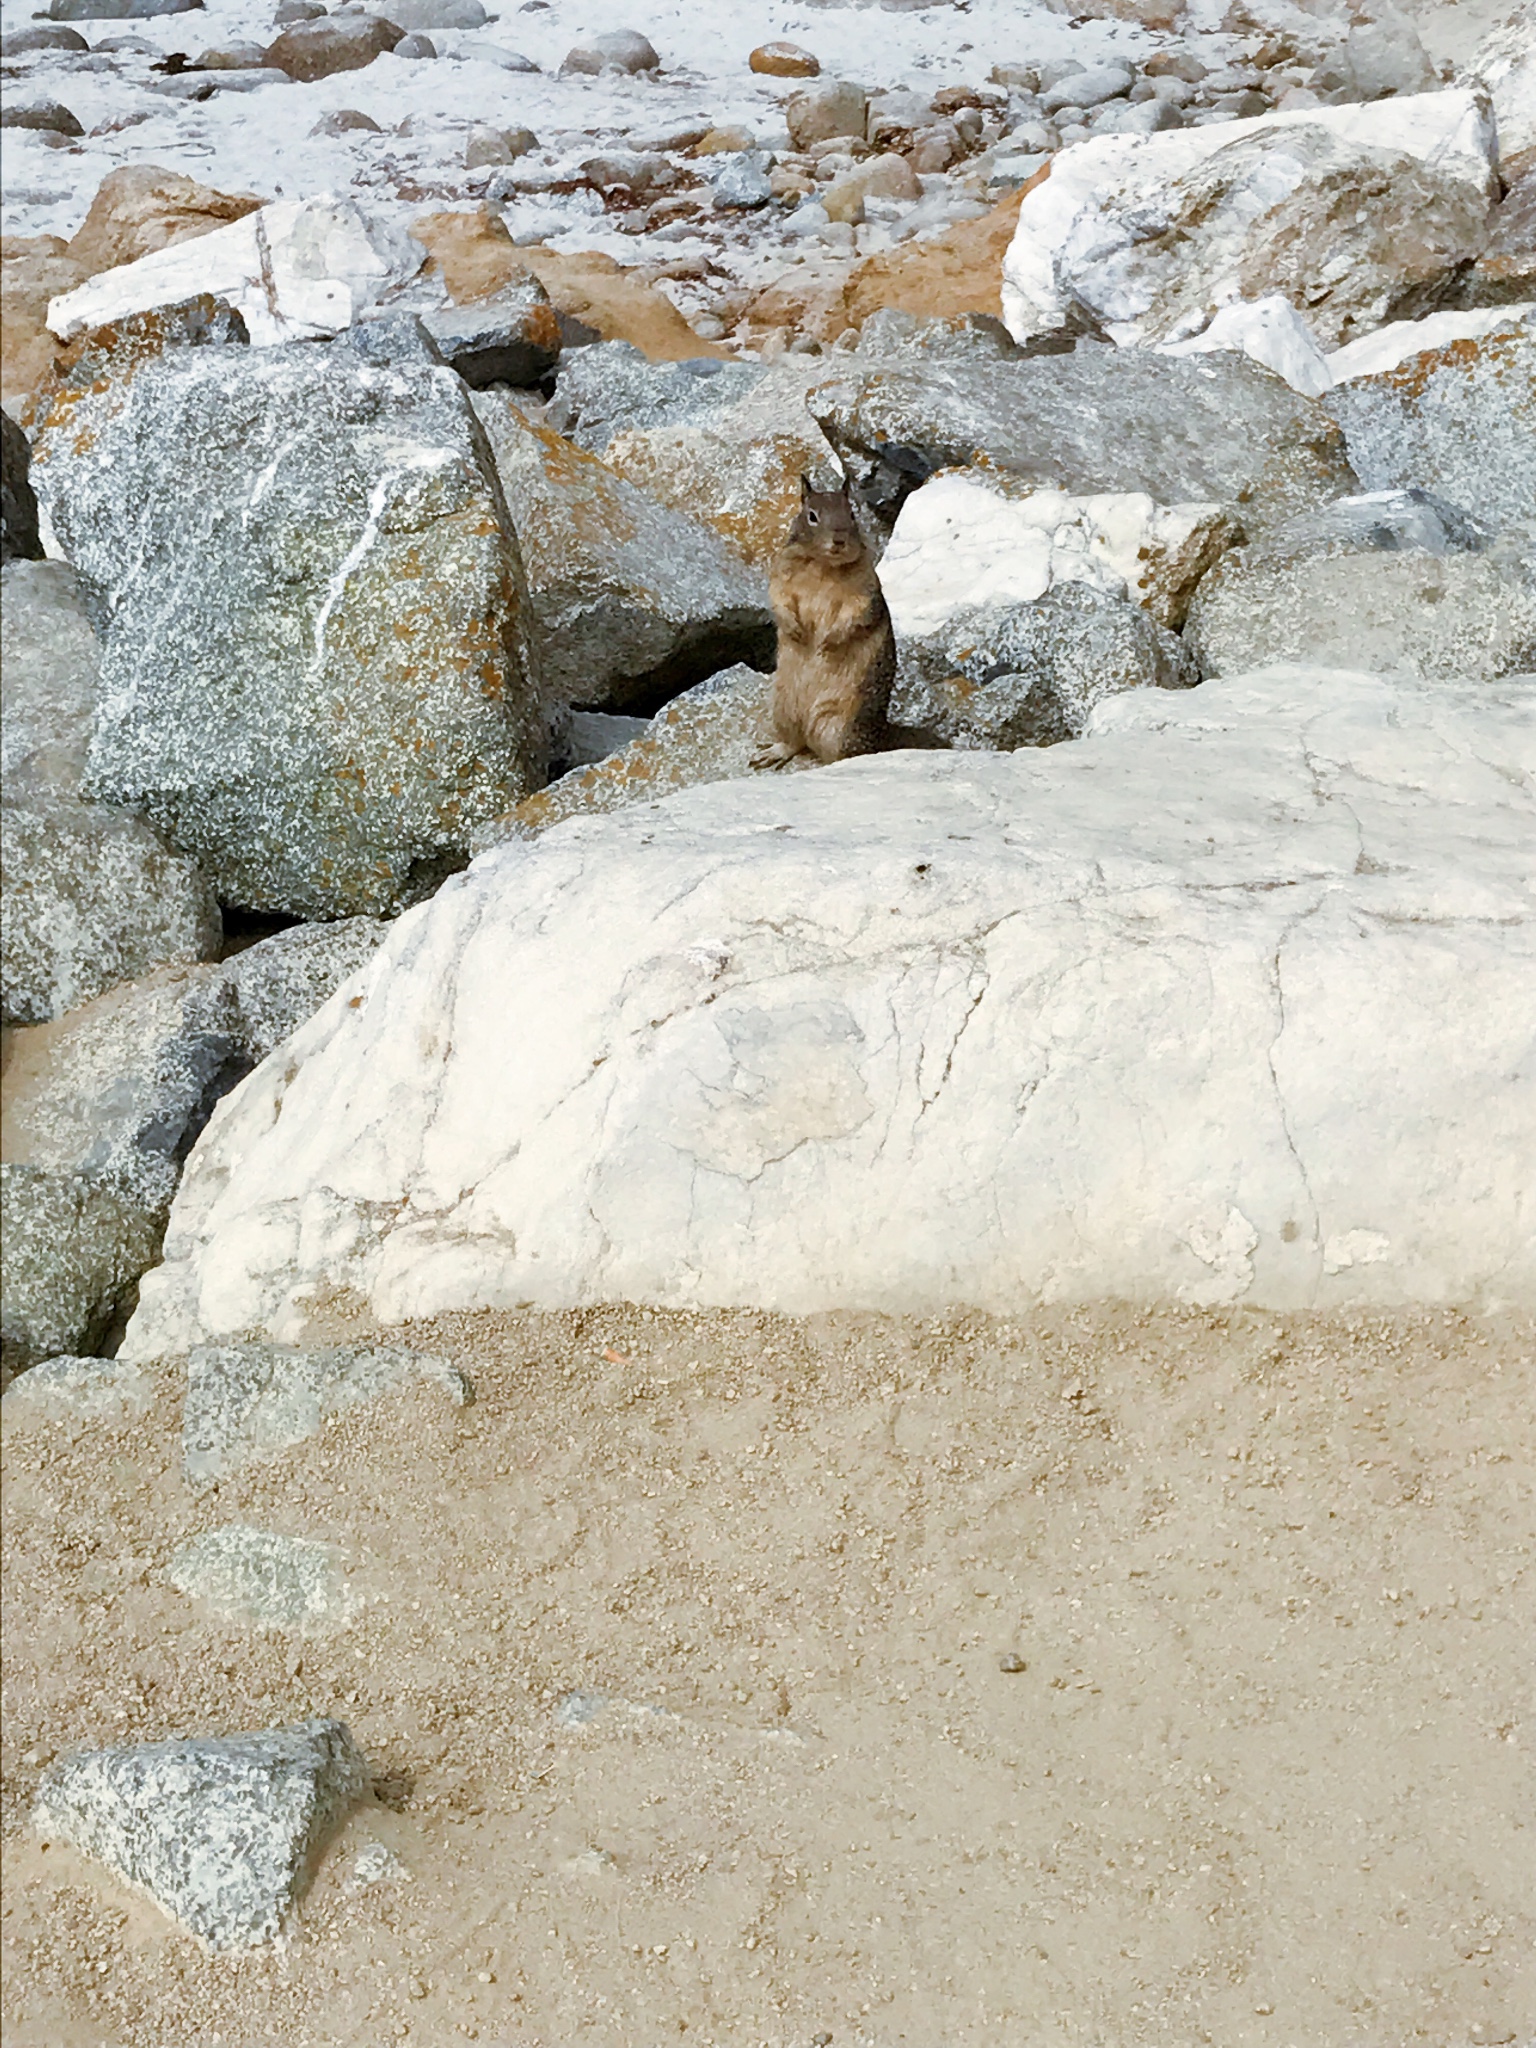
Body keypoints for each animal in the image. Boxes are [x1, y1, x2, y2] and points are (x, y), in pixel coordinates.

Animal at [753, 475, 909, 770]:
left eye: (852, 514)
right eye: (812, 516)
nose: (838, 540)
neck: (822, 565)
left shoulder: (865, 591)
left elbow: (856, 615)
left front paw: (827, 643)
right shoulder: (780, 577)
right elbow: (779, 600)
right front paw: (796, 630)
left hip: (840, 728)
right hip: (782, 709)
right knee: (793, 742)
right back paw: (772, 753)